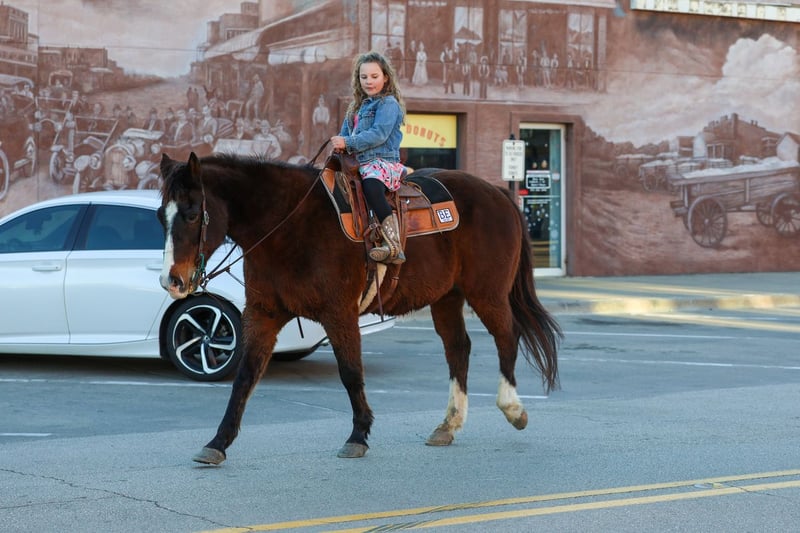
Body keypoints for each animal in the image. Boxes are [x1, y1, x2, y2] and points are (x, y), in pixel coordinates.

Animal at [158, 152, 562, 464]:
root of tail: (499, 193)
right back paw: (448, 425)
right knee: (458, 348)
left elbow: (350, 372)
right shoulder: (263, 313)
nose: (171, 281)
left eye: (192, 214)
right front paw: (217, 443)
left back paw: (513, 408)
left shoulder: (339, 313)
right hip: (447, 297)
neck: (288, 226)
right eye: (162, 215)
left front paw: (358, 436)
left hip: (487, 292)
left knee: (507, 335)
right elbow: (245, 377)